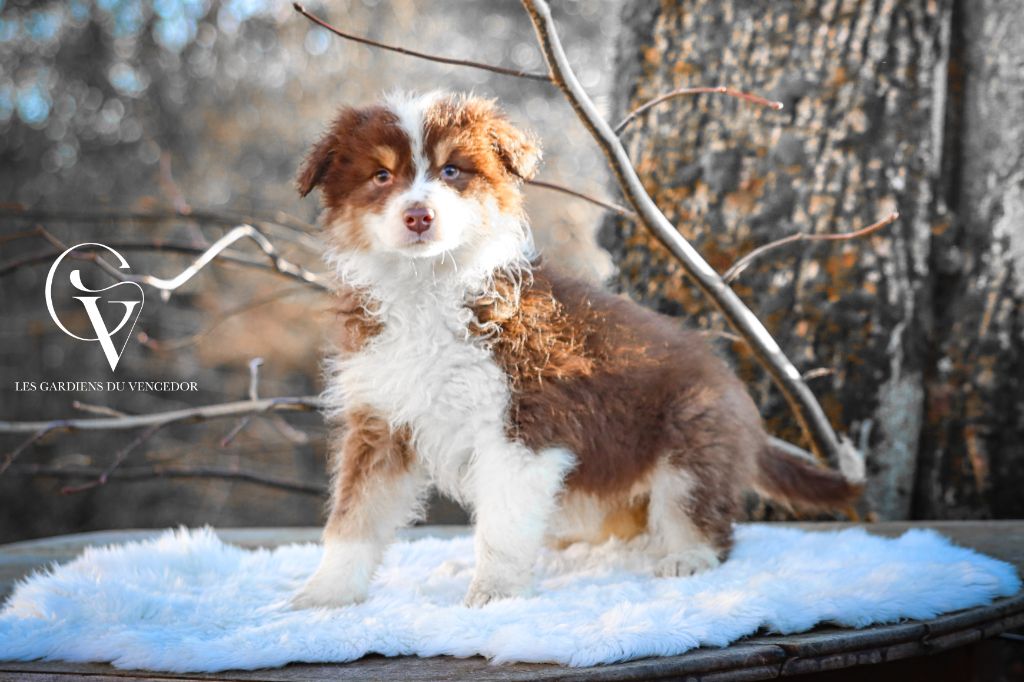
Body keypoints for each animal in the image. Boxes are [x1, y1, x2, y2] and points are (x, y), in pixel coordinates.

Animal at [290, 91, 862, 609]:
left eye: (452, 170)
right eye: (380, 177)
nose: (418, 216)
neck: (429, 286)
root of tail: (744, 407)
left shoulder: (523, 425)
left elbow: (501, 525)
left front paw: (496, 594)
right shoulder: (380, 419)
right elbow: (354, 516)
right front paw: (323, 596)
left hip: (695, 435)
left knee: (699, 514)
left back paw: (688, 556)